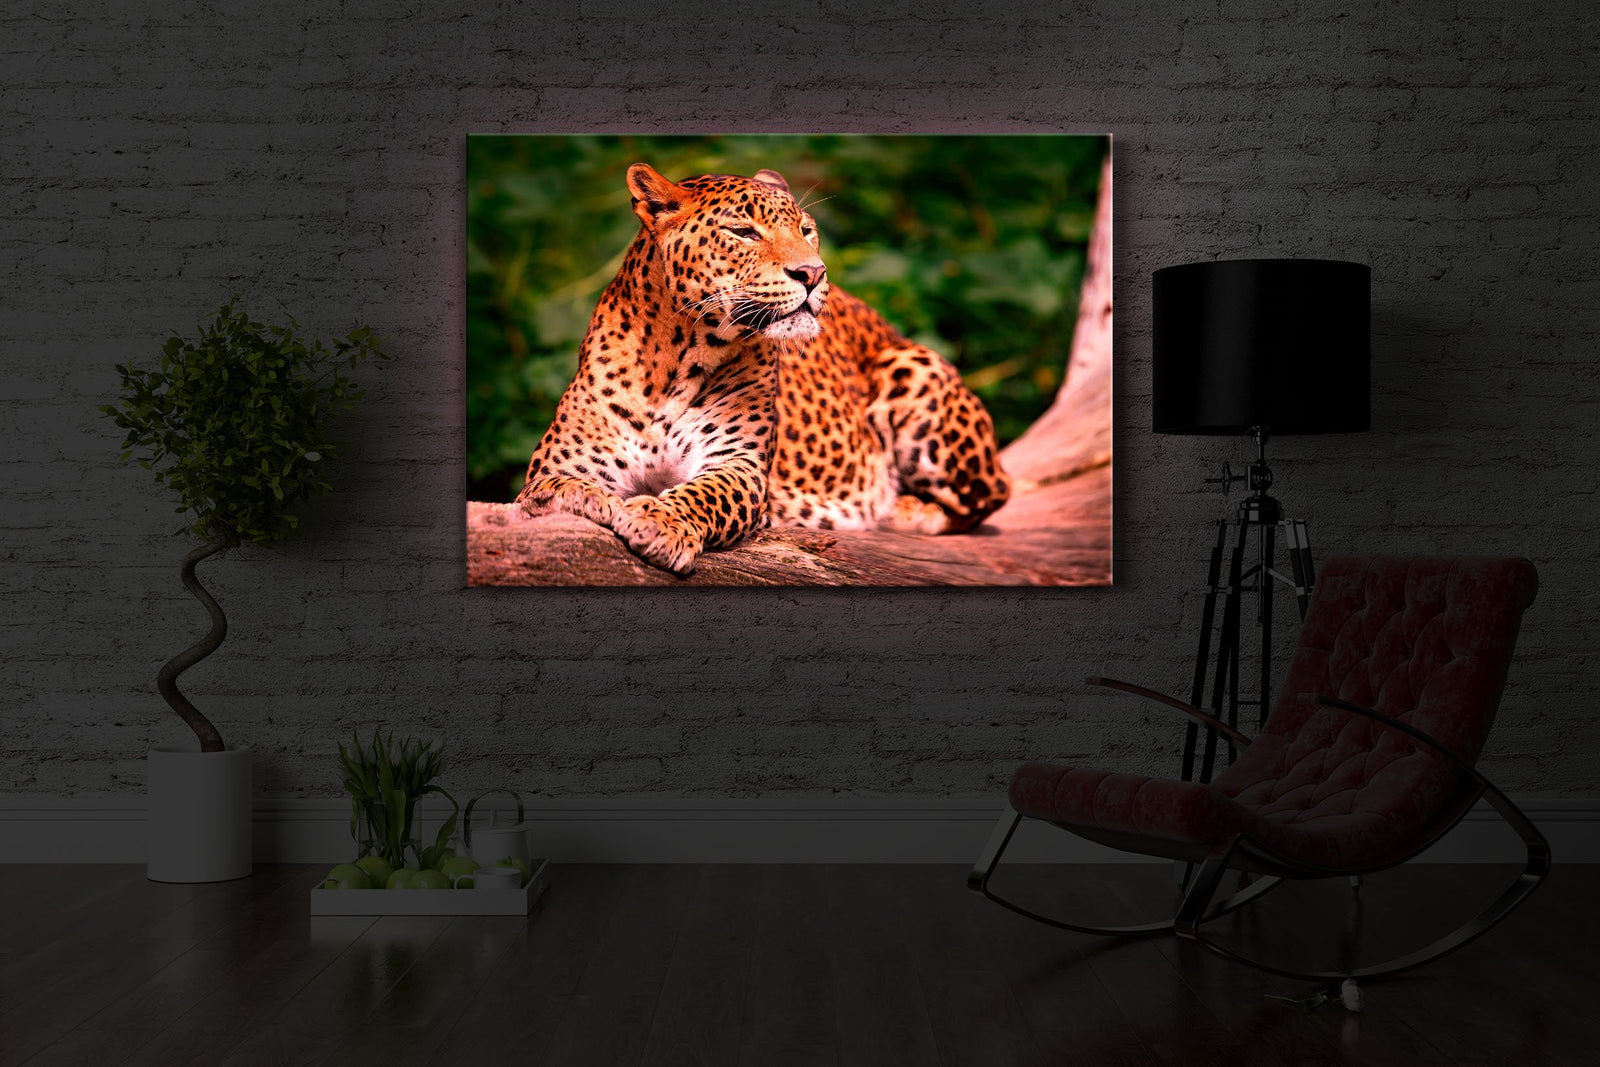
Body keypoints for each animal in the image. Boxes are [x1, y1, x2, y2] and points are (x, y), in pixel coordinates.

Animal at [515, 162, 1011, 576]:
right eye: (743, 232)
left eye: (807, 230)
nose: (813, 273)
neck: (675, 360)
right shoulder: (566, 457)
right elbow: (549, 485)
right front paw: (576, 496)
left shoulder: (740, 464)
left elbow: (704, 494)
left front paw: (659, 521)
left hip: (913, 367)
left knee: (992, 493)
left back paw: (906, 509)